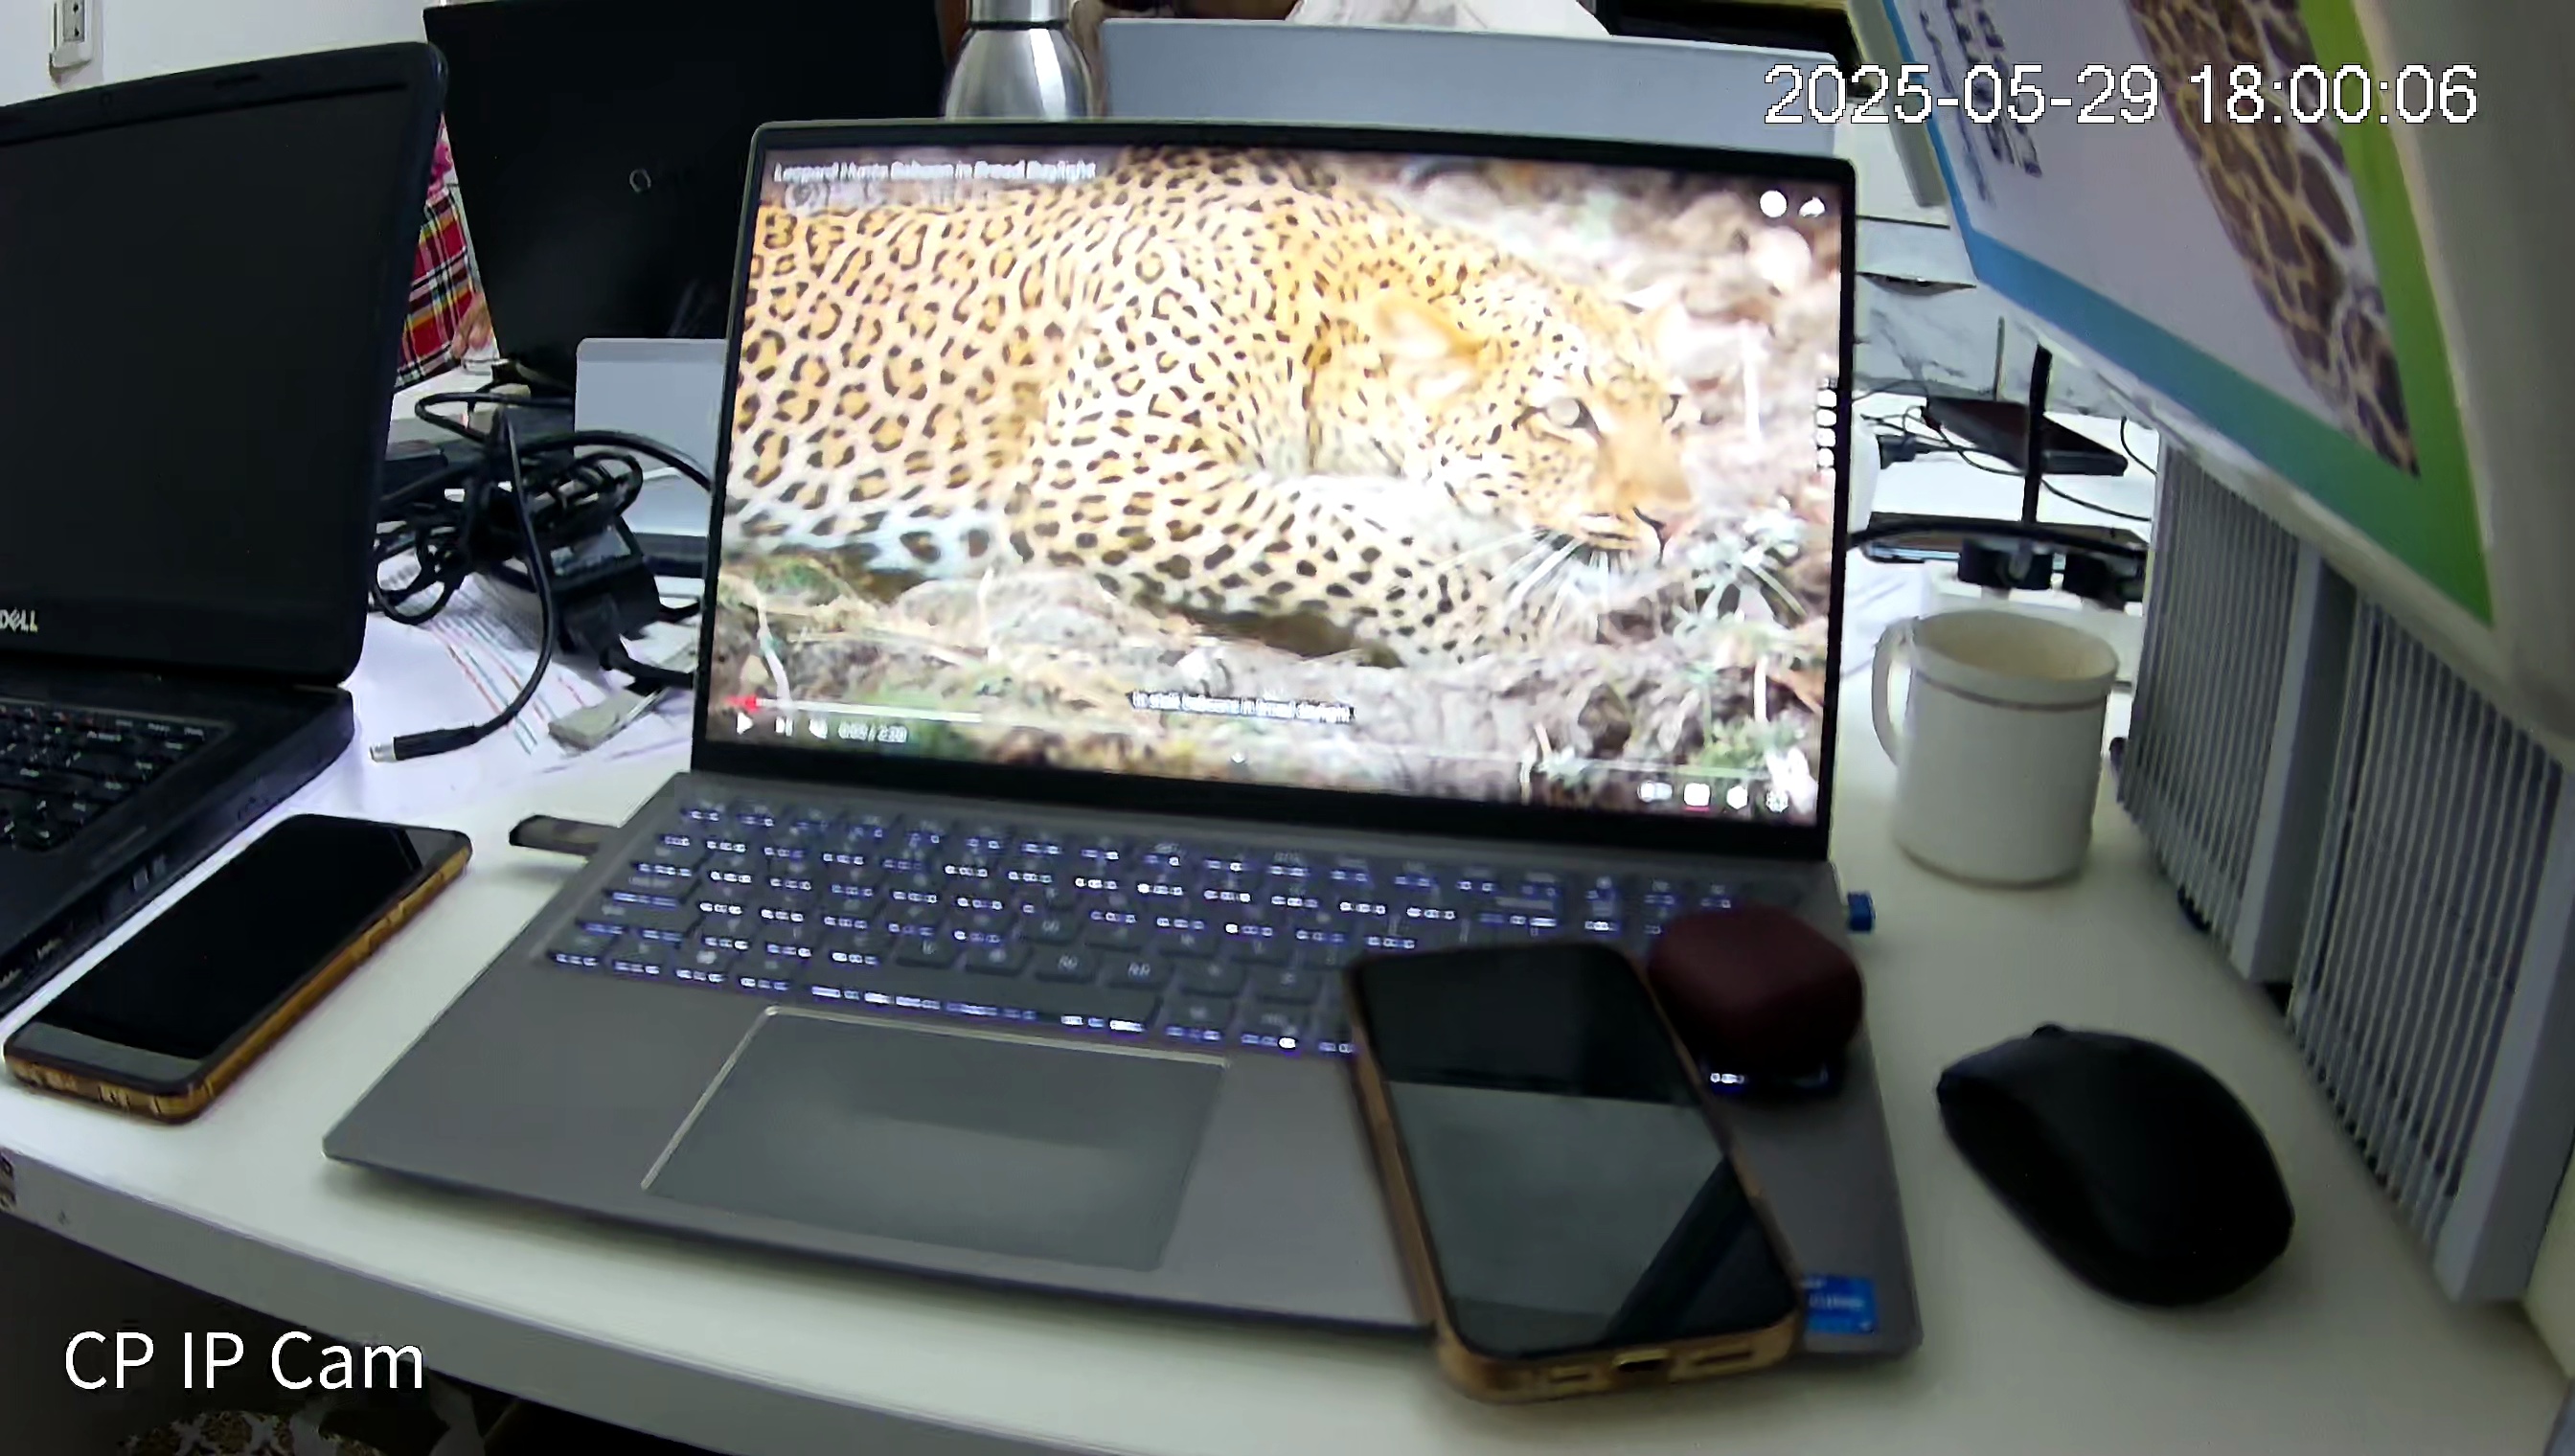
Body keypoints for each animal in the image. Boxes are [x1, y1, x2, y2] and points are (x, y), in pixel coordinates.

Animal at [722, 147, 1702, 666]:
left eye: (1674, 409)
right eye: (1567, 416)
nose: (1675, 524)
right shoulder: (1106, 470)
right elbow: (1339, 540)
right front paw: (1517, 629)